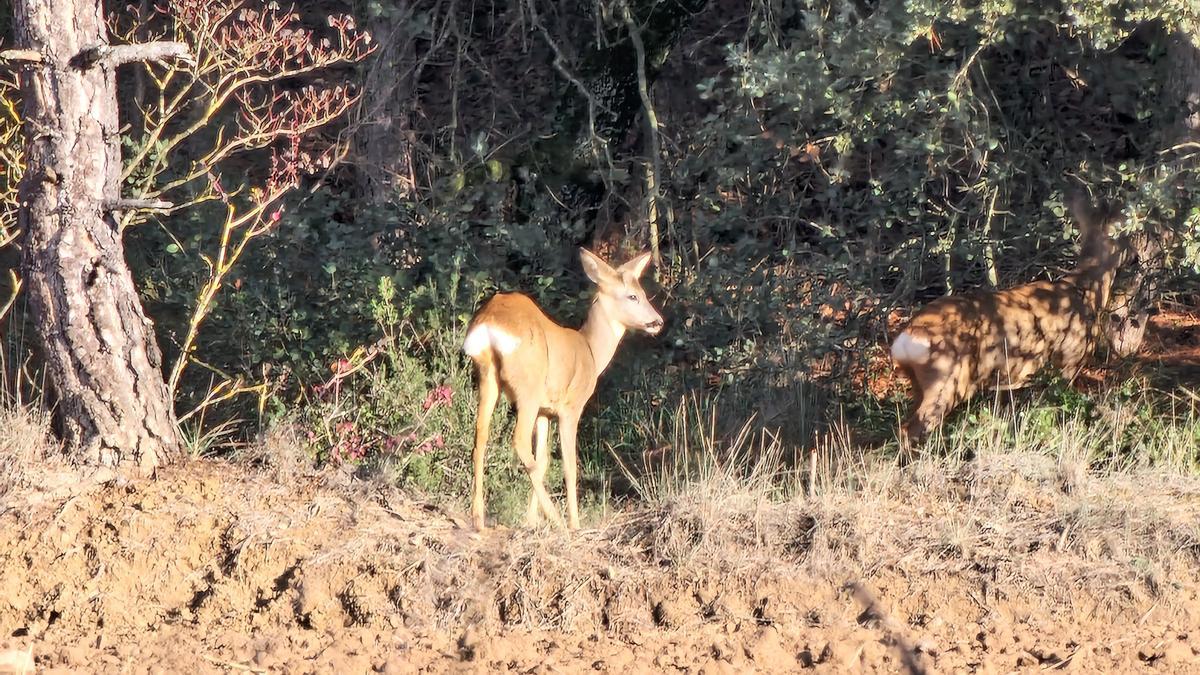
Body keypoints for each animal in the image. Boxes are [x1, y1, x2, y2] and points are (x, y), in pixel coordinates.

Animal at [460, 248, 667, 530]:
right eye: (633, 295)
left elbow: (544, 460)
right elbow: (569, 465)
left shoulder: (545, 411)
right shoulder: (571, 407)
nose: (657, 321)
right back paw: (557, 520)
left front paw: (530, 520)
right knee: (518, 440)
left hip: (488, 375)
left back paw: (479, 518)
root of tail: (489, 323)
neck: (591, 352)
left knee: (480, 436)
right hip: (528, 385)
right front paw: (574, 523)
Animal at [892, 190, 1142, 446]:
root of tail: (908, 338)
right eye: (1126, 235)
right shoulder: (1070, 360)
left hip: (920, 384)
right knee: (912, 429)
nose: (1136, 257)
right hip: (947, 381)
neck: (1086, 290)